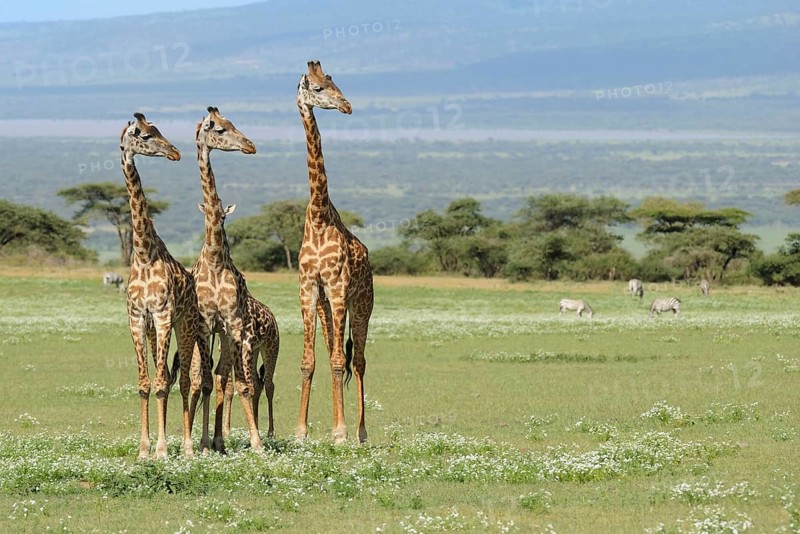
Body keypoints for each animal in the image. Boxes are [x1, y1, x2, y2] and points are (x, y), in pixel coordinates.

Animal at [120, 112, 212, 459]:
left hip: (185, 326)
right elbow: (146, 383)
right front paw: (143, 449)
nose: (174, 152)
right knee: (171, 378)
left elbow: (162, 383)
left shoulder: (162, 316)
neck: (144, 254)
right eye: (145, 135)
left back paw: (187, 446)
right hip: (154, 330)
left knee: (184, 380)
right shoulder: (137, 319)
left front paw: (160, 449)